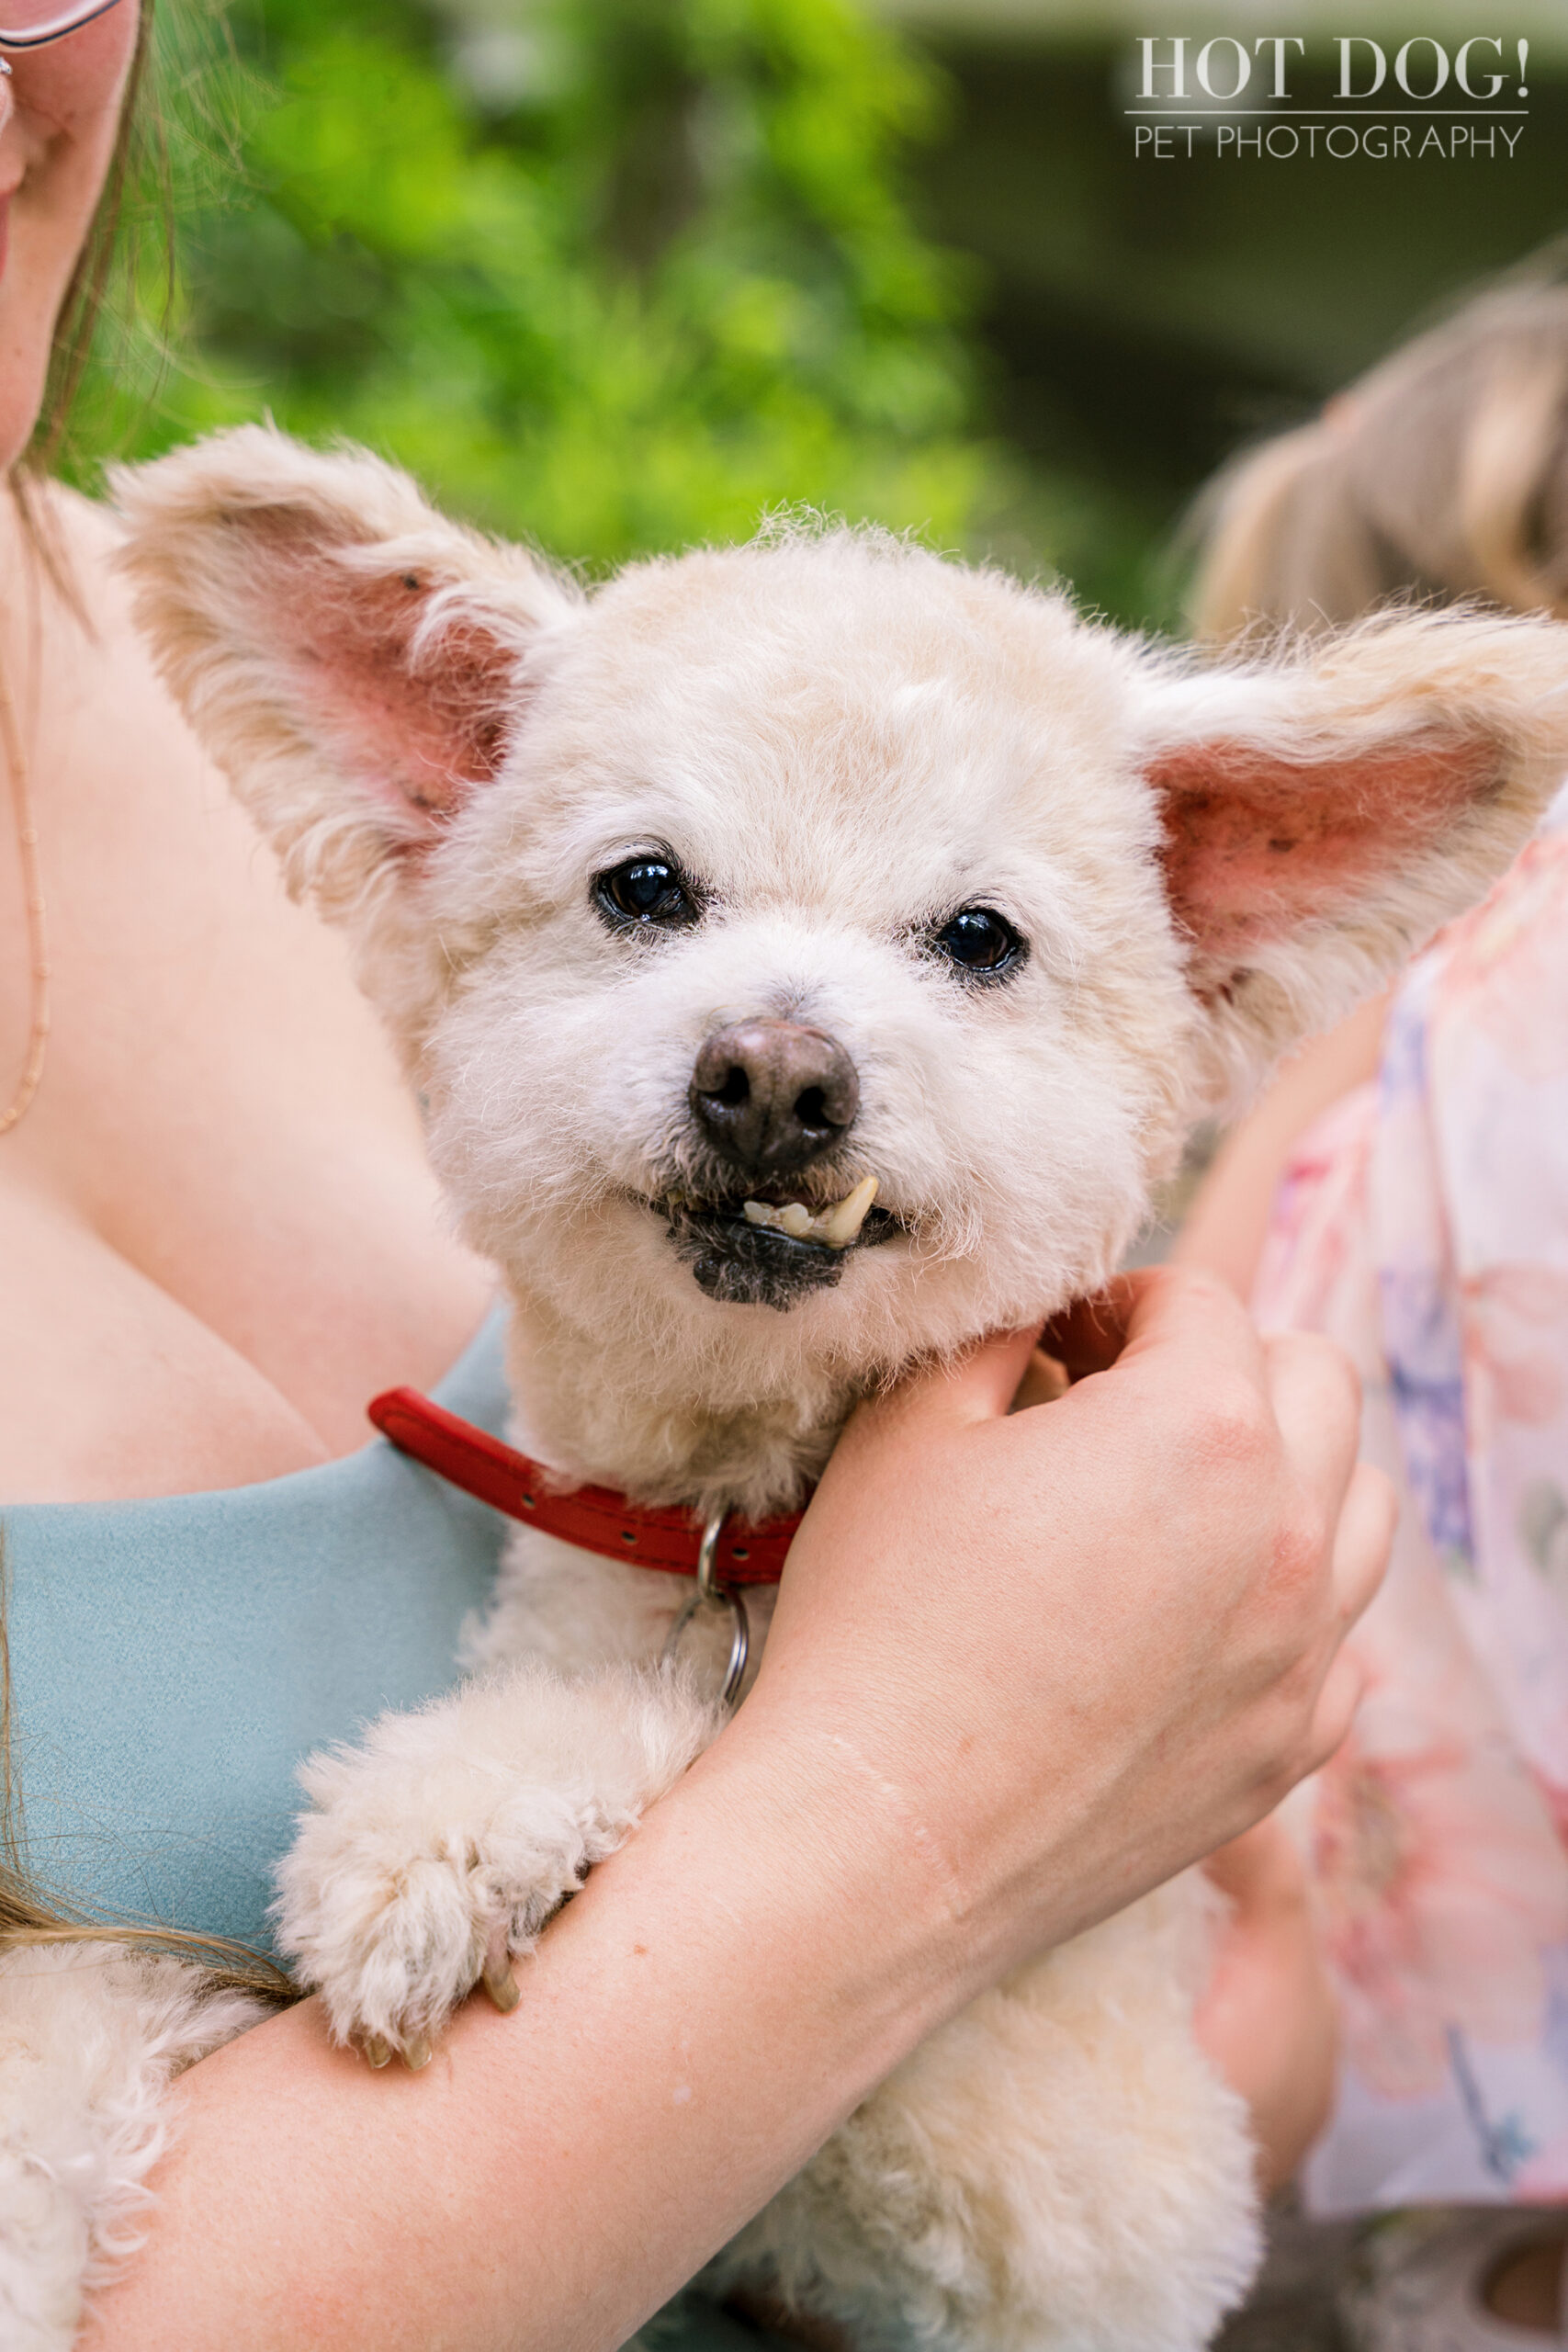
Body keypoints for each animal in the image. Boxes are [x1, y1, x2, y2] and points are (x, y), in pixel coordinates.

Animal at [12, 423, 1568, 2352]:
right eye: (642, 887)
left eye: (978, 936)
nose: (773, 1075)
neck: (737, 1512)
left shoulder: (1104, 2196)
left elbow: (711, 1757)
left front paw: (453, 1821)